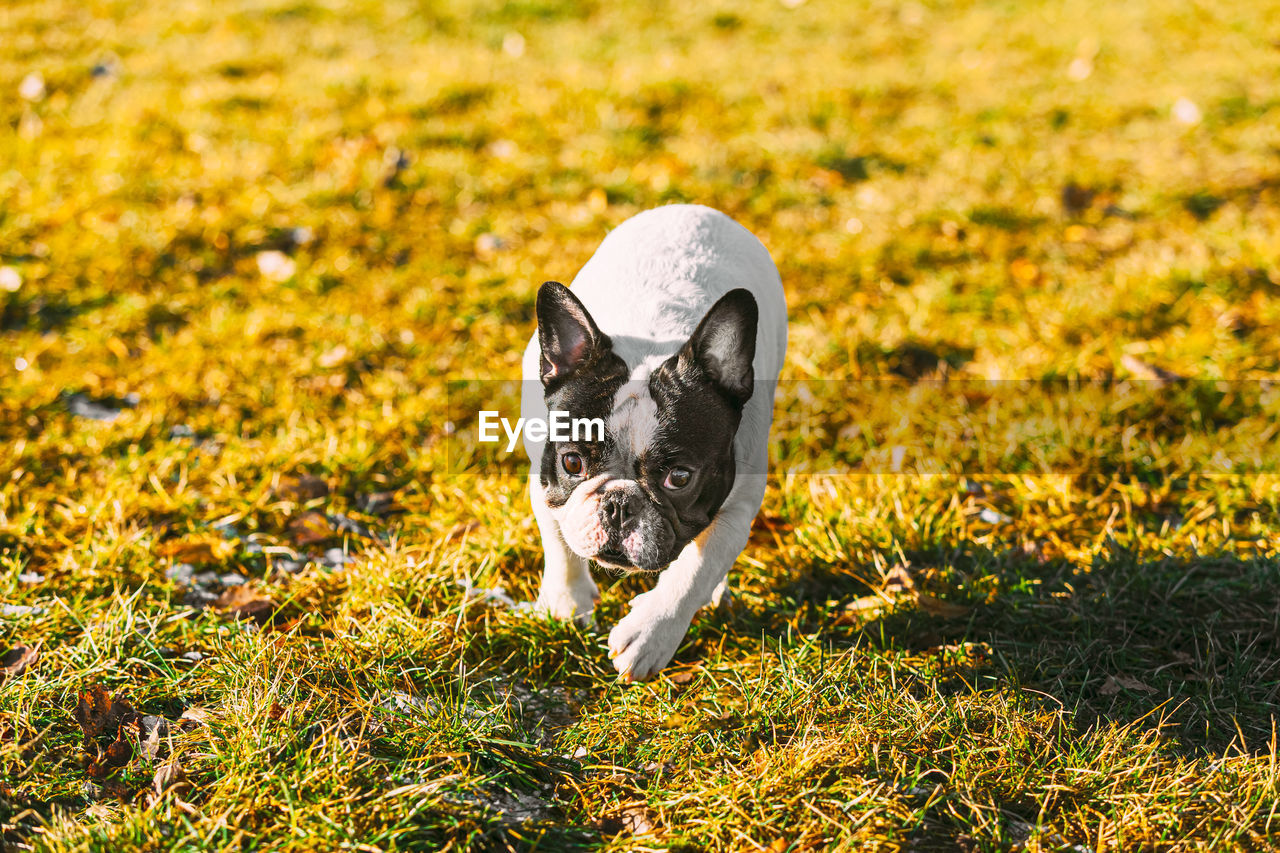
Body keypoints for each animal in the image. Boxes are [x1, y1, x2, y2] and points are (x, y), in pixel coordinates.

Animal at [522, 204, 788, 676]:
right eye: (573, 463)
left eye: (679, 479)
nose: (617, 503)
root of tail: (694, 208)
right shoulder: (544, 480)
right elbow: (558, 539)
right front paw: (567, 603)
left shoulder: (737, 506)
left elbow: (694, 572)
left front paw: (650, 634)